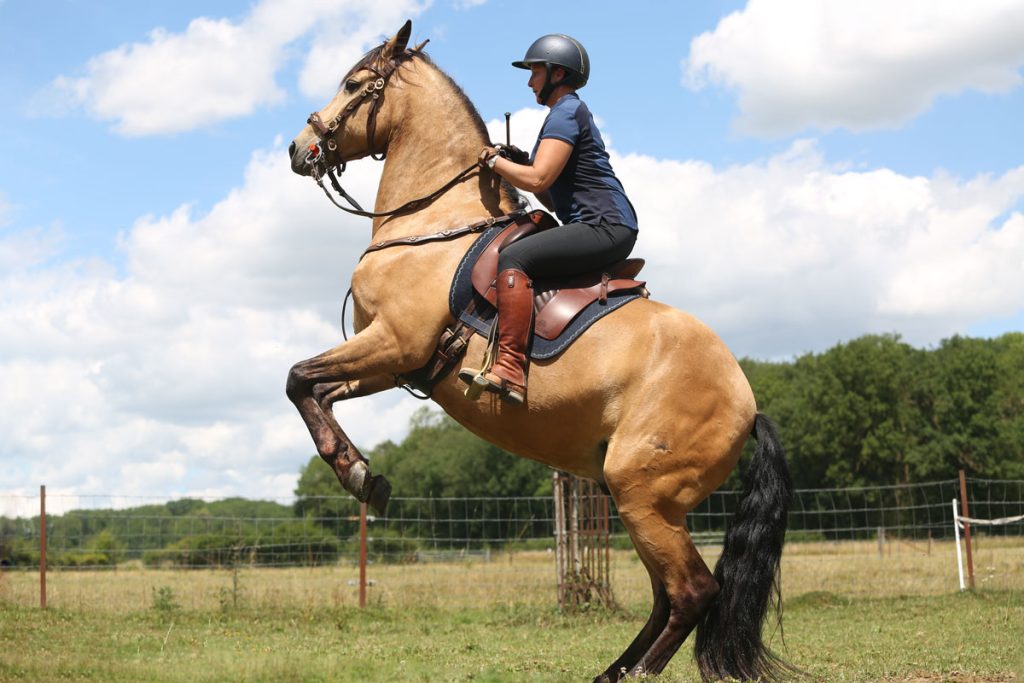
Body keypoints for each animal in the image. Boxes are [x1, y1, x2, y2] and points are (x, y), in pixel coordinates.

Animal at [284, 18, 794, 679]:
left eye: (352, 84)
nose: (298, 148)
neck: (432, 222)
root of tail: (746, 402)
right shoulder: (399, 360)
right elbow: (313, 387)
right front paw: (360, 472)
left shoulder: (395, 342)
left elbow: (297, 377)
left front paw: (359, 475)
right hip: (641, 500)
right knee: (666, 594)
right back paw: (612, 670)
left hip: (643, 494)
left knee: (692, 591)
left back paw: (633, 672)